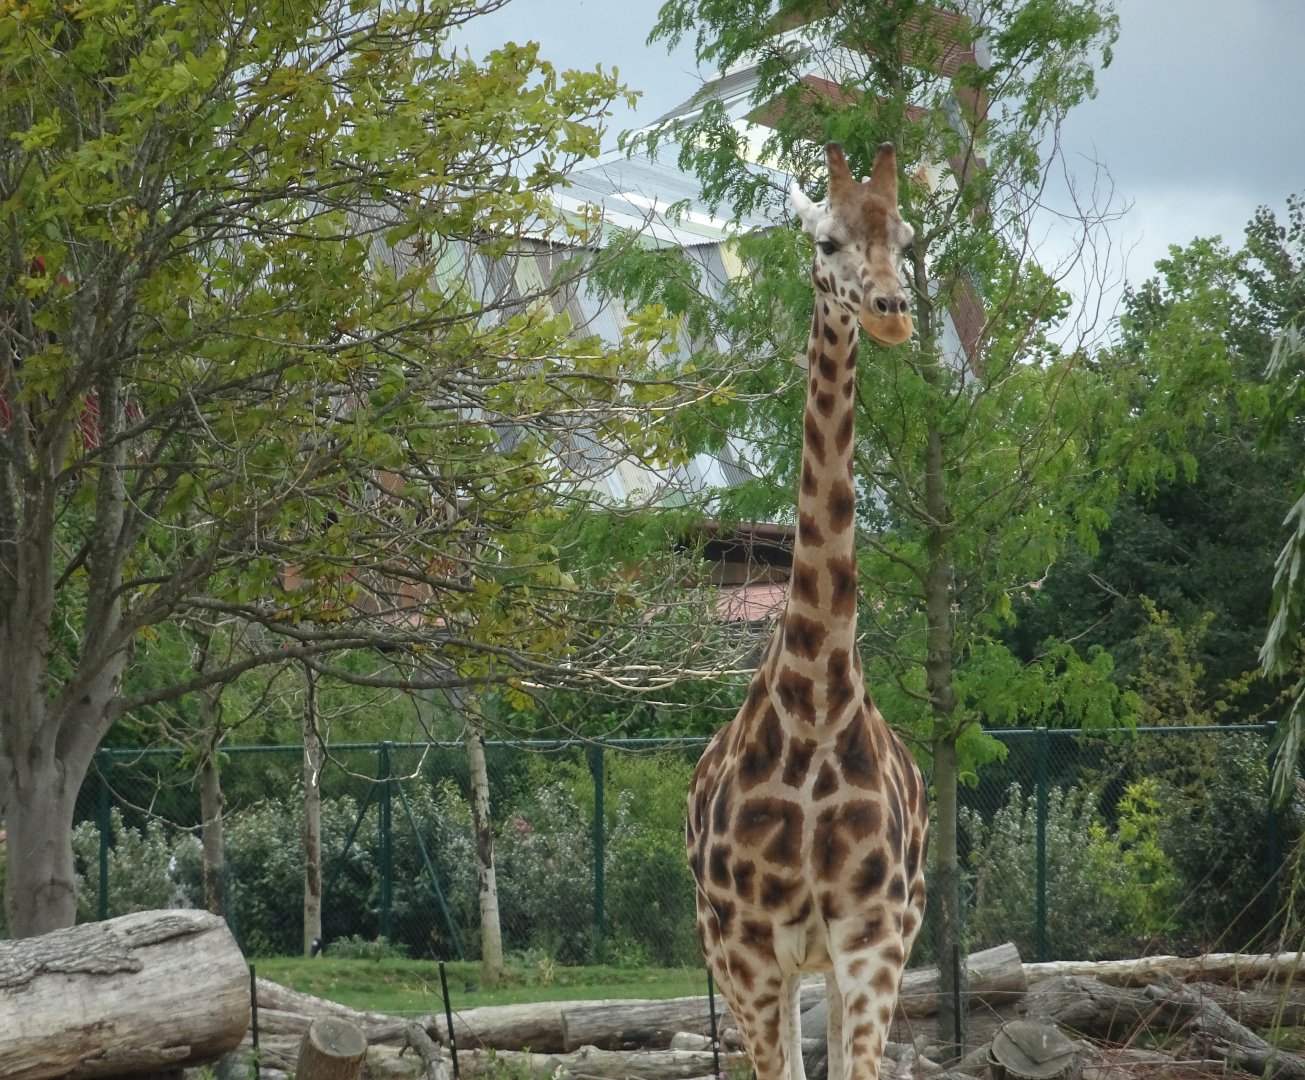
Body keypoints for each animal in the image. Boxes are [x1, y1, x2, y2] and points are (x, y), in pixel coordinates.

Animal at [686, 142, 928, 1080]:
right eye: (825, 242)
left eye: (906, 239)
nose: (893, 312)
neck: (817, 704)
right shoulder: (749, 948)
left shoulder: (874, 942)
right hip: (734, 951)